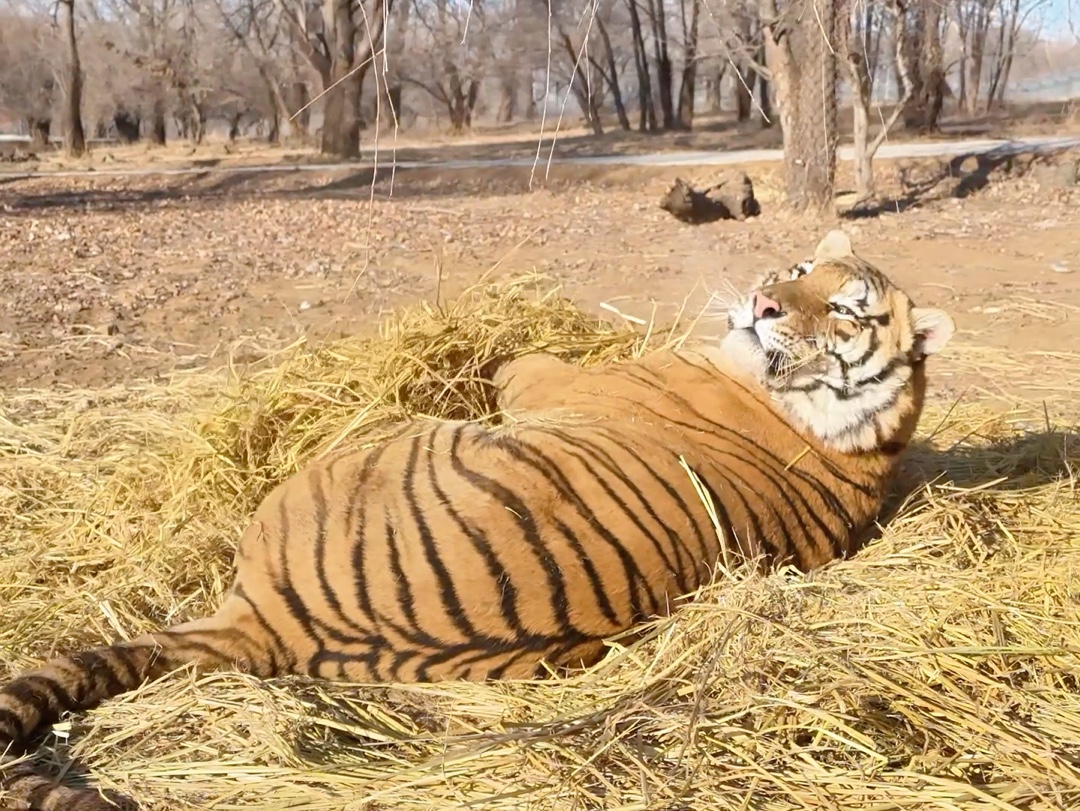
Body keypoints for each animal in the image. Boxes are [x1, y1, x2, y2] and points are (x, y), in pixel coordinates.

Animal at [0, 230, 950, 811]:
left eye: (846, 308)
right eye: (797, 270)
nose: (764, 305)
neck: (857, 440)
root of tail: (258, 625)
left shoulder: (557, 383)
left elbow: (521, 362)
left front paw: (486, 351)